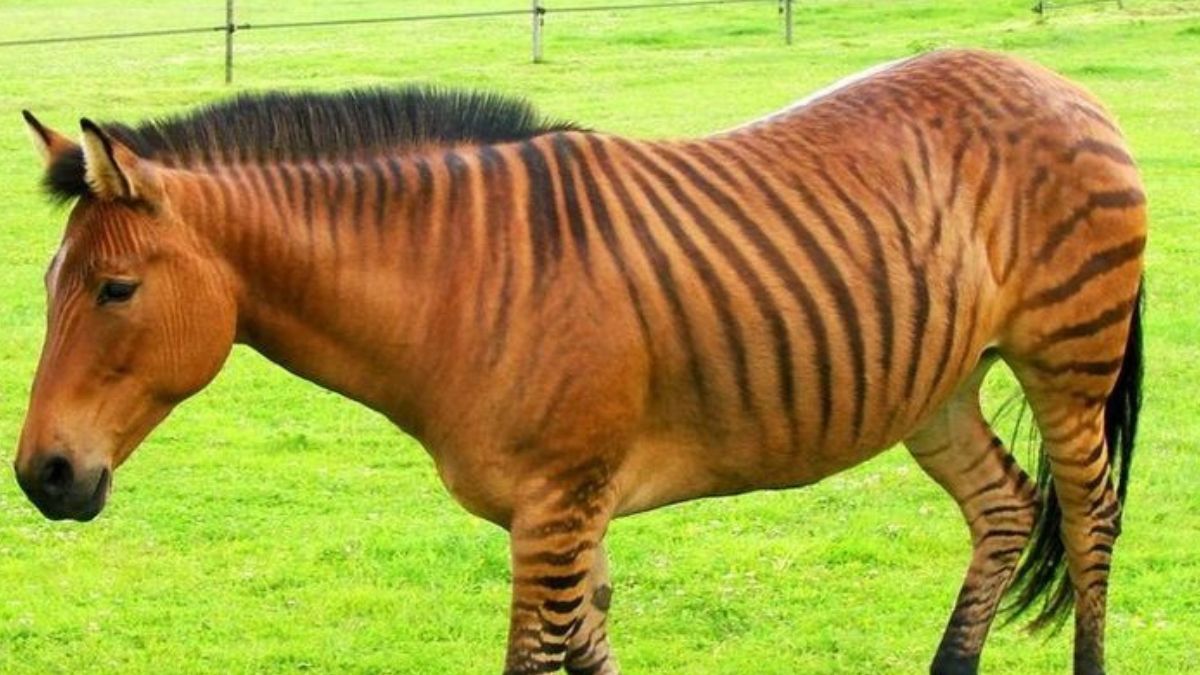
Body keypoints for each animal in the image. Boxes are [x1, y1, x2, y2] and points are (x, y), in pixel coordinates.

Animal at [14, 49, 1145, 674]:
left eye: (116, 291)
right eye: (45, 283)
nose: (40, 477)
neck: (458, 281)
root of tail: (1057, 81)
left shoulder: (553, 509)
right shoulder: (573, 511)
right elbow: (588, 654)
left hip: (1069, 354)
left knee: (1090, 515)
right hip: (936, 382)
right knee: (1006, 506)